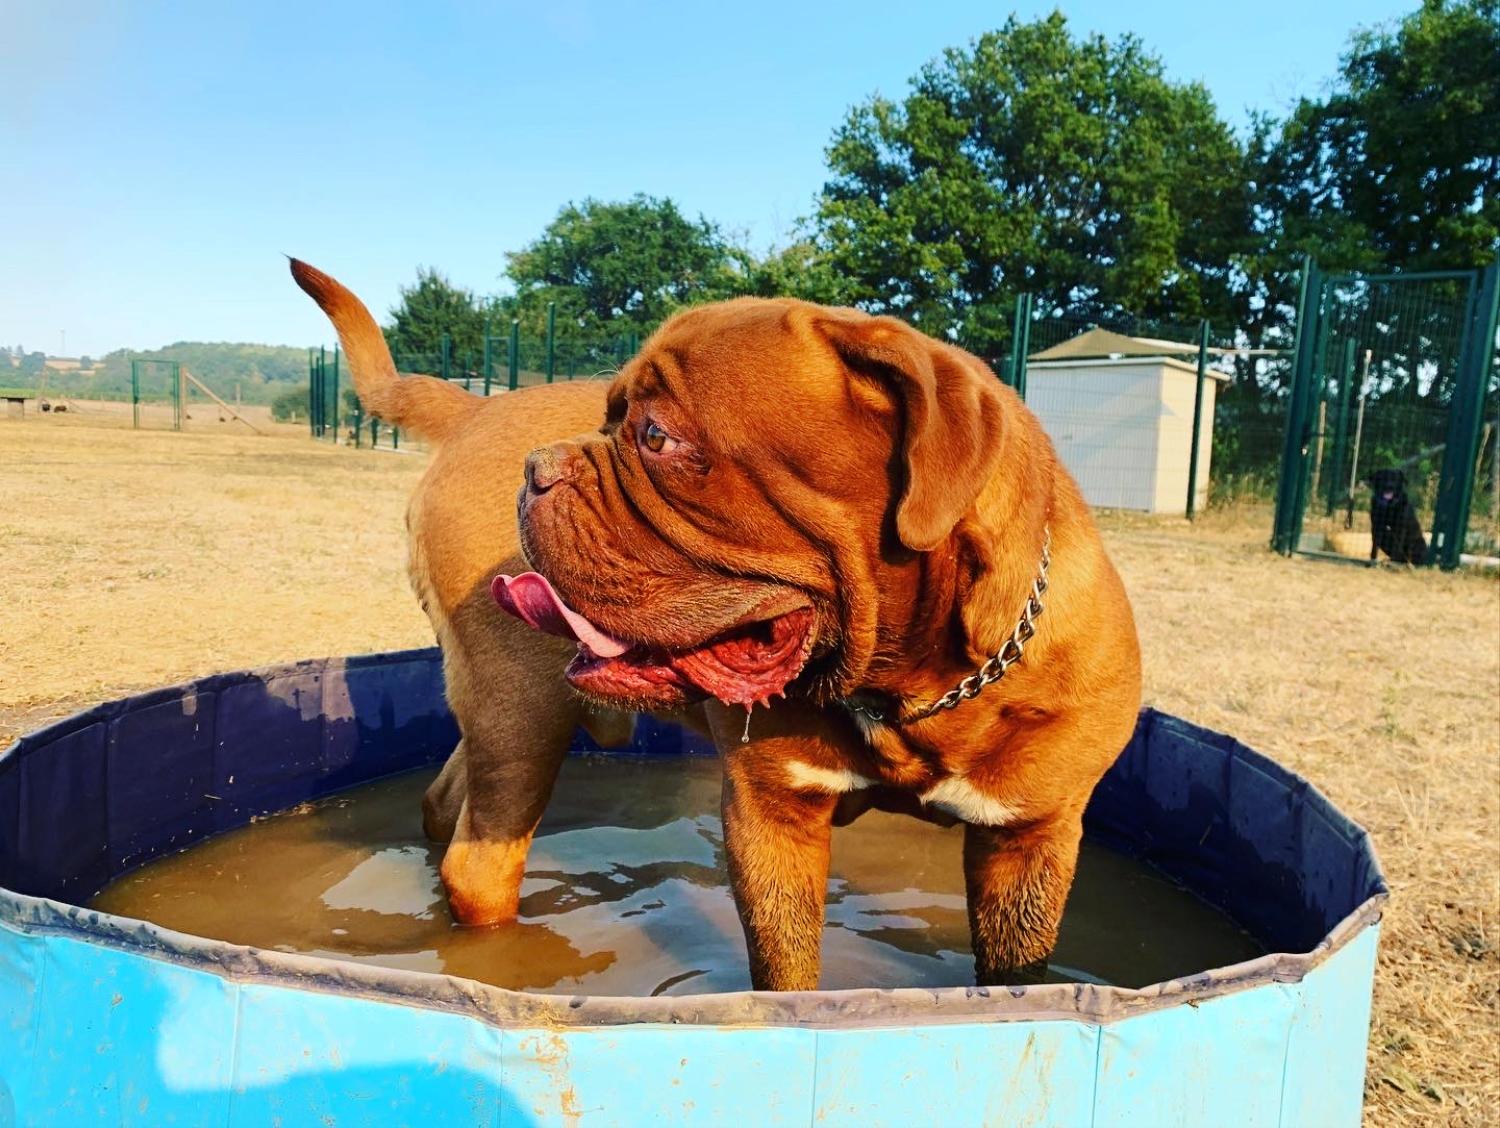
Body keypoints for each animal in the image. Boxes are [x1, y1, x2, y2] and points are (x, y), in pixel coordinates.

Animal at [289, 262, 1134, 984]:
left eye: (656, 436)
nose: (538, 471)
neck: (906, 686)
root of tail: (478, 405)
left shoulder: (1030, 841)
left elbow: (1015, 978)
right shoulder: (772, 815)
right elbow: (787, 976)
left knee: (447, 804)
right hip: (520, 707)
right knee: (482, 860)